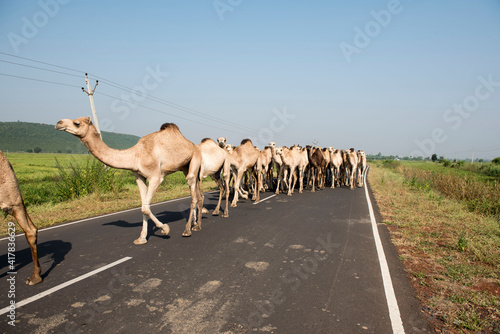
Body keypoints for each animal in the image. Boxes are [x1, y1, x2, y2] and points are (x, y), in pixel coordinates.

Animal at [55, 116, 203, 241]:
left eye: (77, 123)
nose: (59, 123)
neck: (135, 155)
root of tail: (194, 146)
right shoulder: (138, 176)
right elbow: (143, 206)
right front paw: (141, 238)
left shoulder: (155, 177)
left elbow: (145, 207)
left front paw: (165, 229)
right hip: (185, 166)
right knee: (197, 194)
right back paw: (196, 224)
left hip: (194, 160)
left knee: (193, 193)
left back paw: (187, 230)